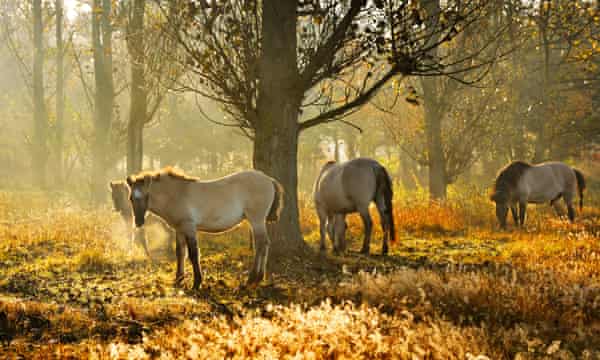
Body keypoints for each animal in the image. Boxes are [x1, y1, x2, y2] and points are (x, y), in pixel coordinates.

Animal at [126, 167, 284, 290]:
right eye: (131, 198)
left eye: (146, 196)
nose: (138, 222)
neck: (176, 194)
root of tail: (269, 179)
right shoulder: (179, 229)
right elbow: (180, 253)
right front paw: (178, 280)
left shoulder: (189, 227)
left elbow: (193, 254)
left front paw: (196, 283)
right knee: (264, 244)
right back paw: (258, 278)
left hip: (256, 220)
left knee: (261, 244)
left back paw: (252, 279)